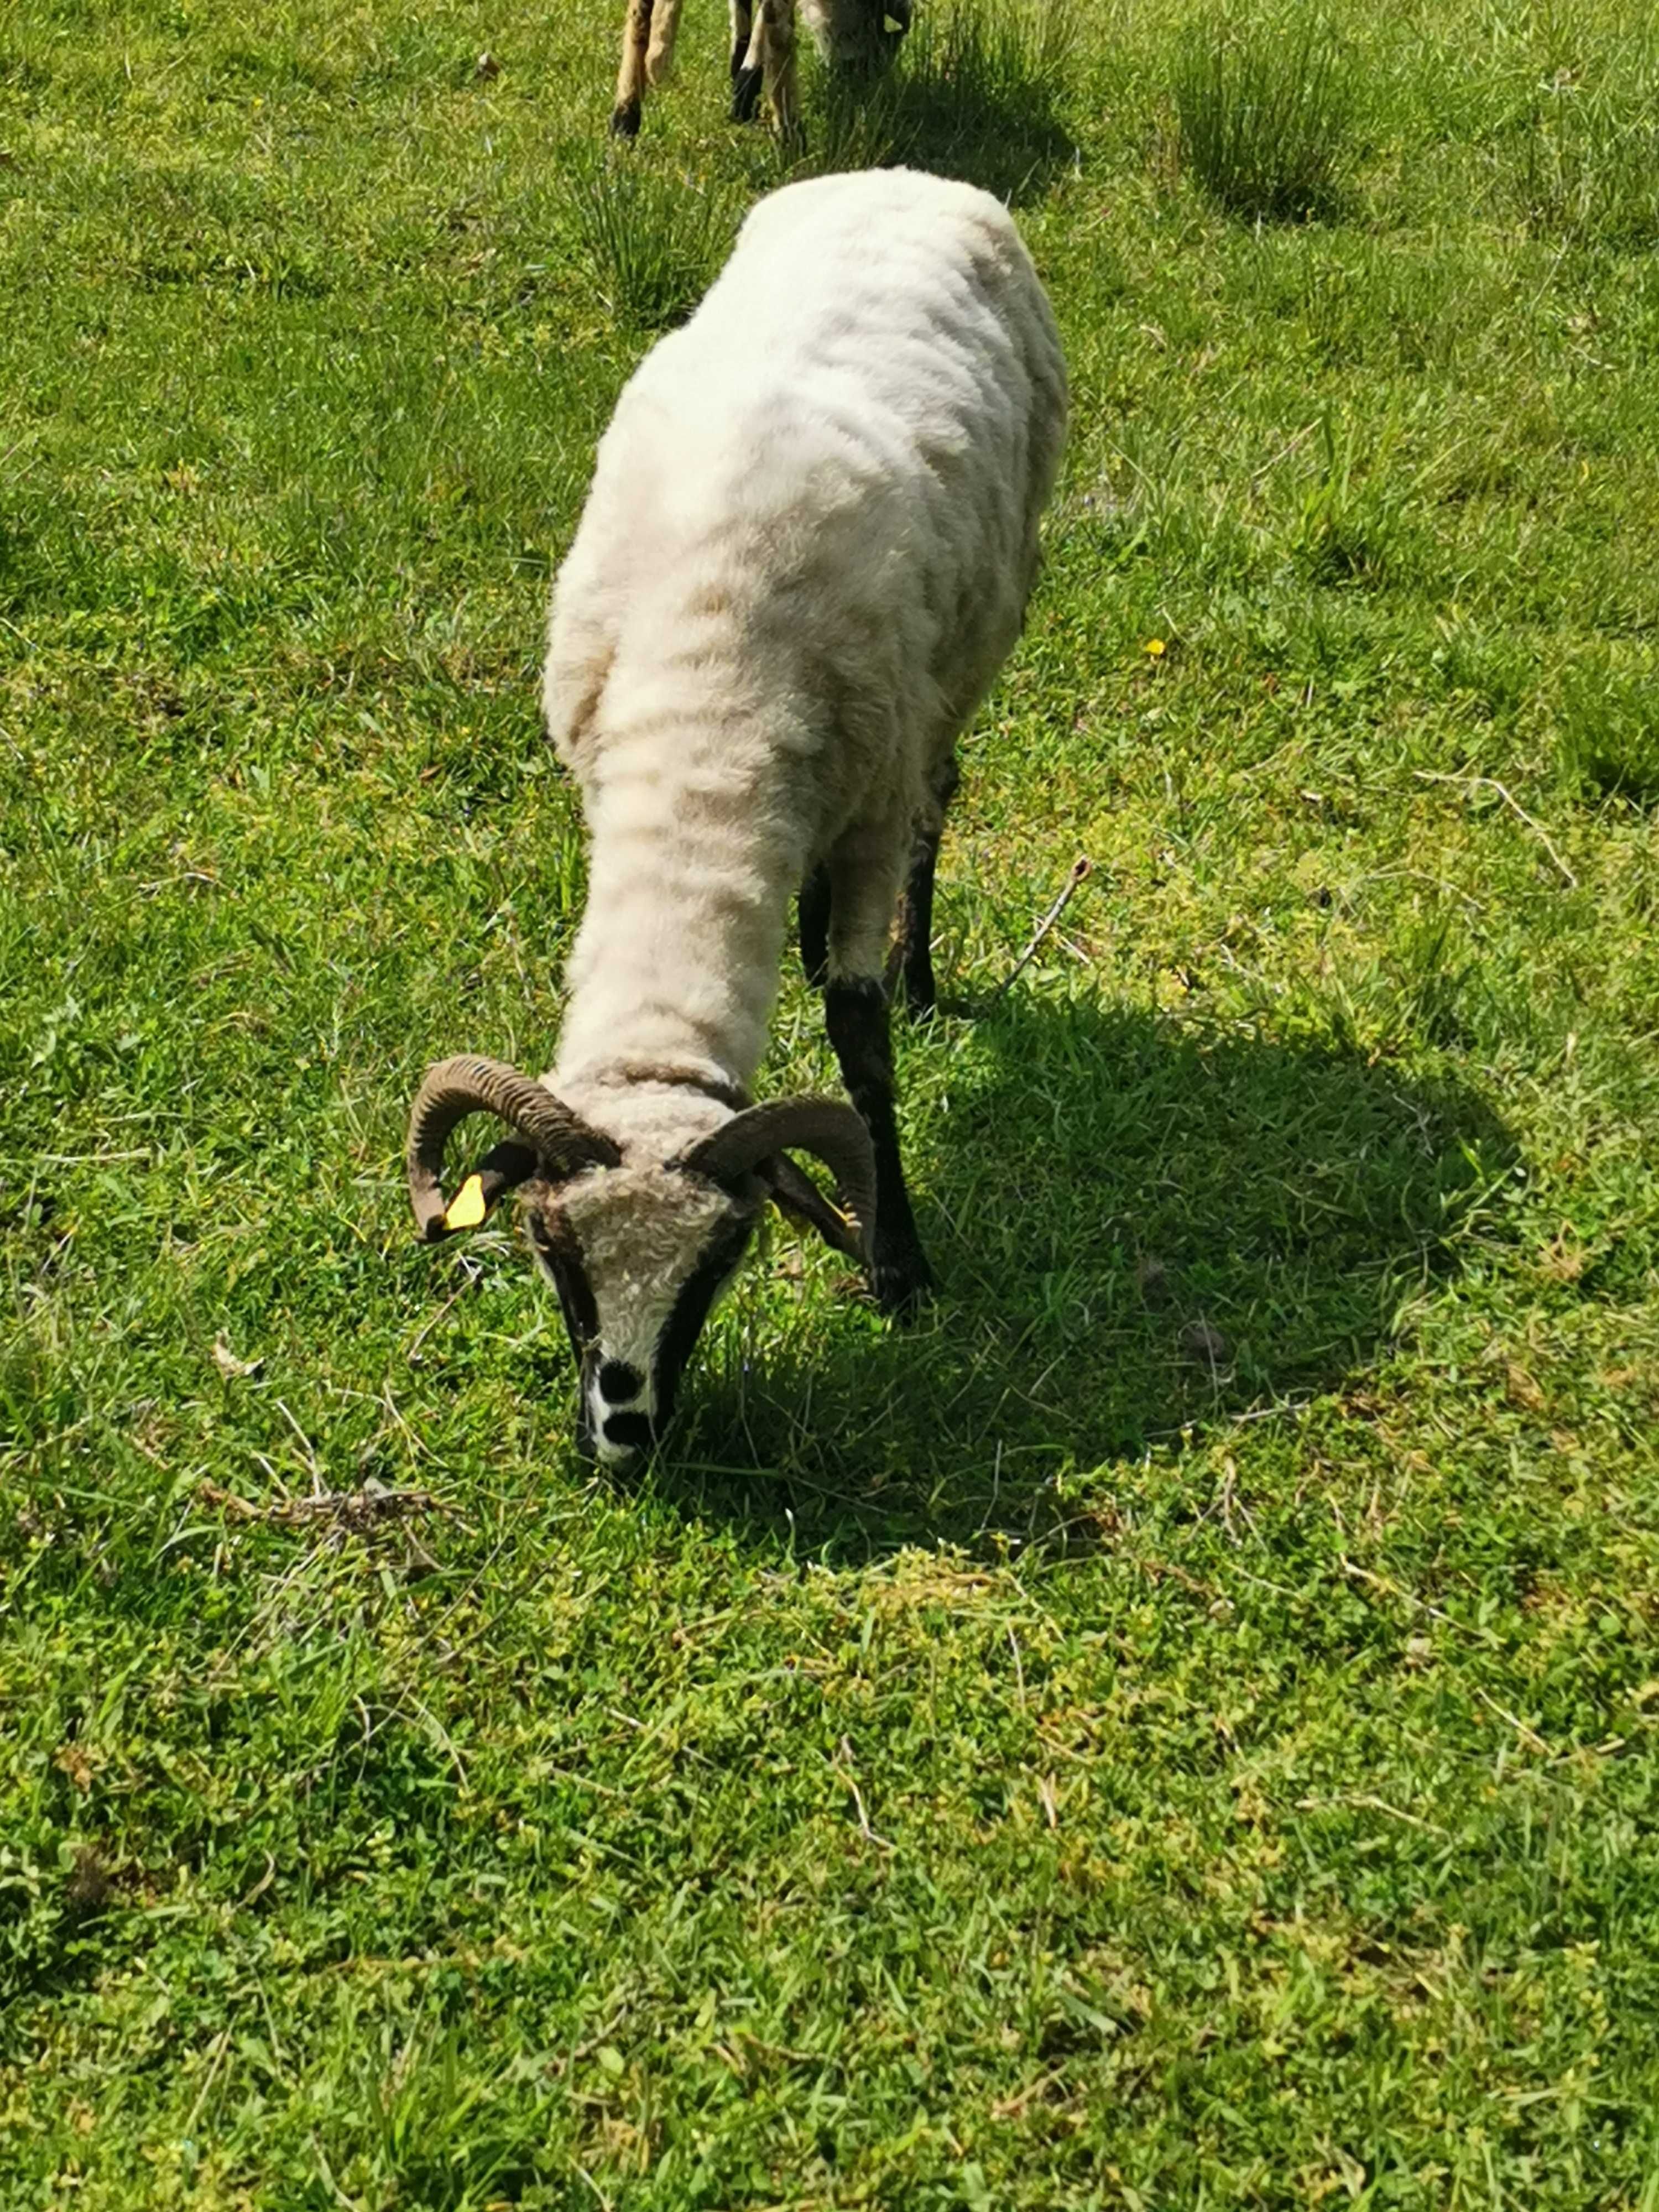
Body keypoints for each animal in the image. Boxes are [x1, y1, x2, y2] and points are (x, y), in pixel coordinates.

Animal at [409, 173, 1071, 1469]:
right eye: (552, 1246)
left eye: (724, 1256)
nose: (623, 1434)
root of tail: (905, 173)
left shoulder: (870, 806)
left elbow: (862, 1044)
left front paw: (900, 1267)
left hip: (969, 655)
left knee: (943, 797)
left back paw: (922, 975)